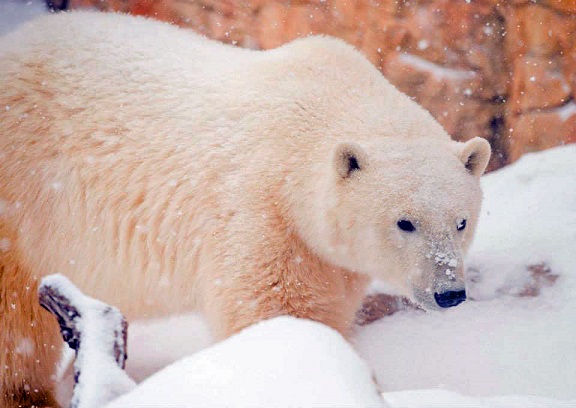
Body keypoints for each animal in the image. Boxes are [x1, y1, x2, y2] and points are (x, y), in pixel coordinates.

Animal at [0, 11, 490, 406]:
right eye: (405, 223)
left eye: (461, 222)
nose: (449, 292)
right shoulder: (261, 210)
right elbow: (278, 312)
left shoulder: (330, 256)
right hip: (22, 194)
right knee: (16, 320)